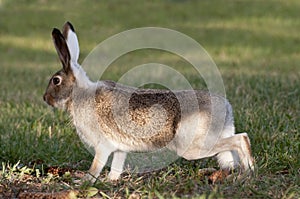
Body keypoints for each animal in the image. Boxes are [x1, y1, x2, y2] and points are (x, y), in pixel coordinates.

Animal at [44, 21, 253, 182]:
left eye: (56, 80)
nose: (45, 98)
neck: (79, 93)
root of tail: (225, 107)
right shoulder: (119, 148)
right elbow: (117, 164)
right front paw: (111, 180)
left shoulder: (102, 146)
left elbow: (96, 165)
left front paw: (84, 182)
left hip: (194, 146)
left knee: (241, 139)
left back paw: (249, 171)